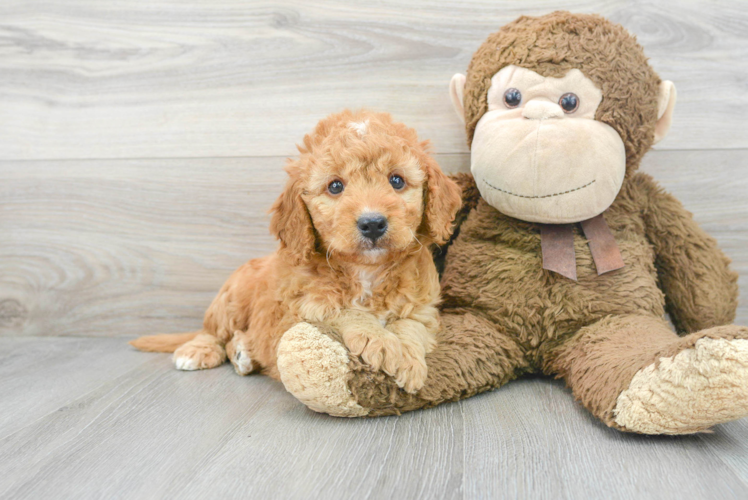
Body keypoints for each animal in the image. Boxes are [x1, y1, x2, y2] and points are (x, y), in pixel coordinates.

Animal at [133, 110, 462, 394]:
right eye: (335, 186)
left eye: (396, 180)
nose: (372, 224)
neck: (366, 270)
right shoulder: (302, 307)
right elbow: (346, 313)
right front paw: (381, 342)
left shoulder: (424, 306)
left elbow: (411, 325)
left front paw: (409, 358)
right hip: (232, 298)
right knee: (213, 331)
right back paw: (198, 350)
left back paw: (243, 352)